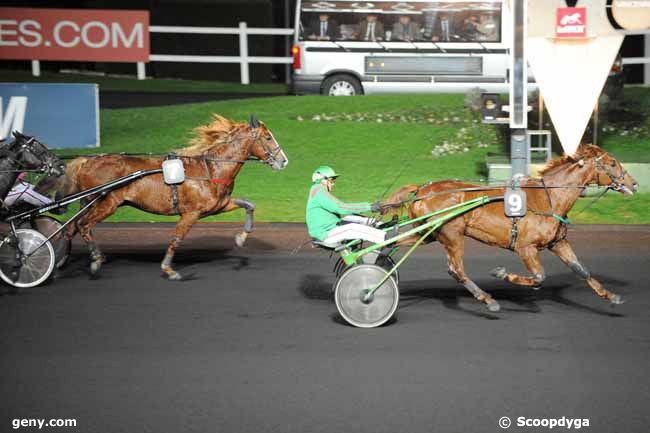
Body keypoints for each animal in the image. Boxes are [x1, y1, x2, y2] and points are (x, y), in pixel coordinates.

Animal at [55, 114, 288, 280]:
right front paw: (169, 269)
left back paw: (60, 263)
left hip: (88, 201)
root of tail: (88, 161)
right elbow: (176, 238)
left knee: (71, 228)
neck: (211, 169)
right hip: (107, 202)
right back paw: (94, 261)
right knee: (84, 225)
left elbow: (249, 204)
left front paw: (241, 237)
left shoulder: (218, 206)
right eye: (268, 137)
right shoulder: (191, 213)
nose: (283, 161)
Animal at [382, 144, 636, 310]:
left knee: (391, 243)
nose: (633, 183)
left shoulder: (558, 243)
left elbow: (582, 270)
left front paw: (611, 296)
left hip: (428, 233)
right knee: (456, 270)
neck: (549, 197)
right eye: (612, 163)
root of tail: (422, 189)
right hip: (452, 234)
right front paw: (502, 273)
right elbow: (538, 276)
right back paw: (488, 300)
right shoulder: (526, 247)